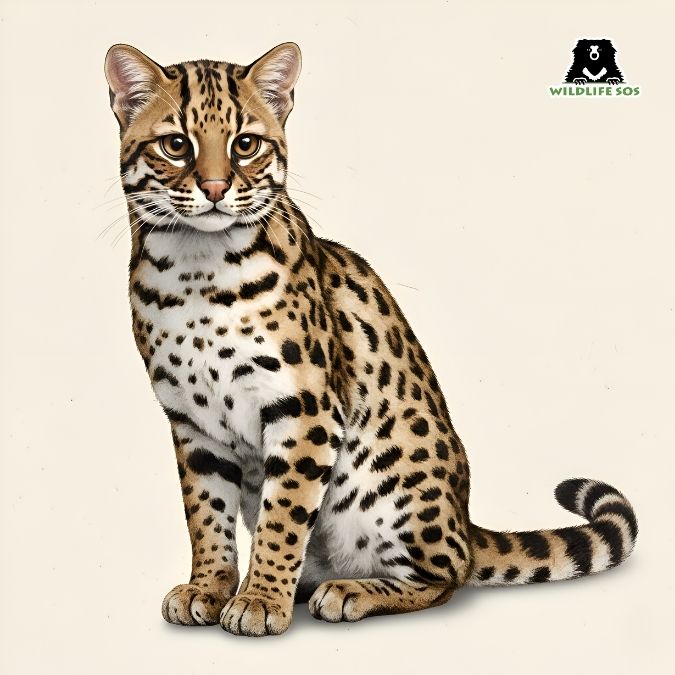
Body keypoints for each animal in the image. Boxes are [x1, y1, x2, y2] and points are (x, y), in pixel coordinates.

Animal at [104, 42, 638, 637]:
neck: (195, 270)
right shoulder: (192, 424)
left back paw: (349, 591)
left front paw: (260, 599)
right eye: (176, 145)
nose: (217, 189)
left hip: (391, 485)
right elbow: (205, 515)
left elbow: (283, 517)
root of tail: (465, 519)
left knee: (446, 574)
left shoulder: (305, 408)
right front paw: (211, 586)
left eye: (246, 144)